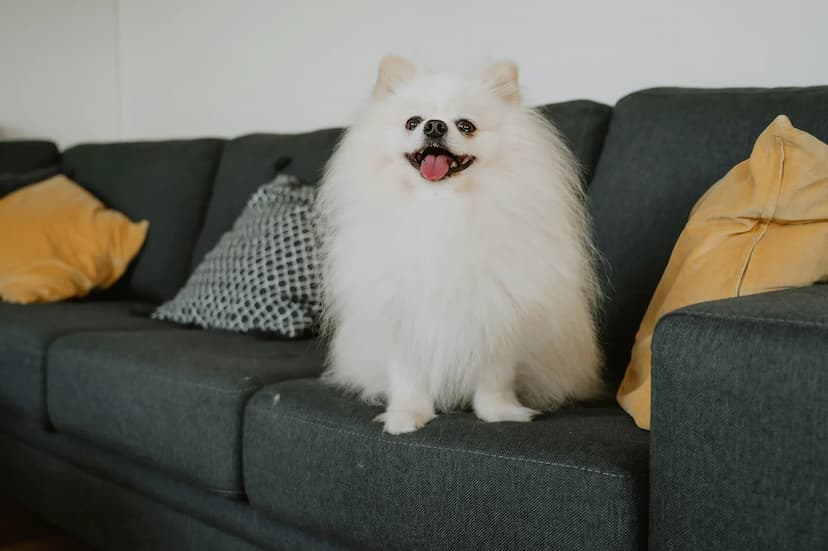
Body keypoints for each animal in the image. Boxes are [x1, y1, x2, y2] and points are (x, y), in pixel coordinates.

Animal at [316, 57, 600, 436]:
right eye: (413, 122)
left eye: (466, 126)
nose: (435, 126)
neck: (442, 207)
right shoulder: (401, 316)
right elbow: (407, 375)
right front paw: (406, 415)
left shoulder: (497, 313)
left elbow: (495, 377)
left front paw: (500, 413)